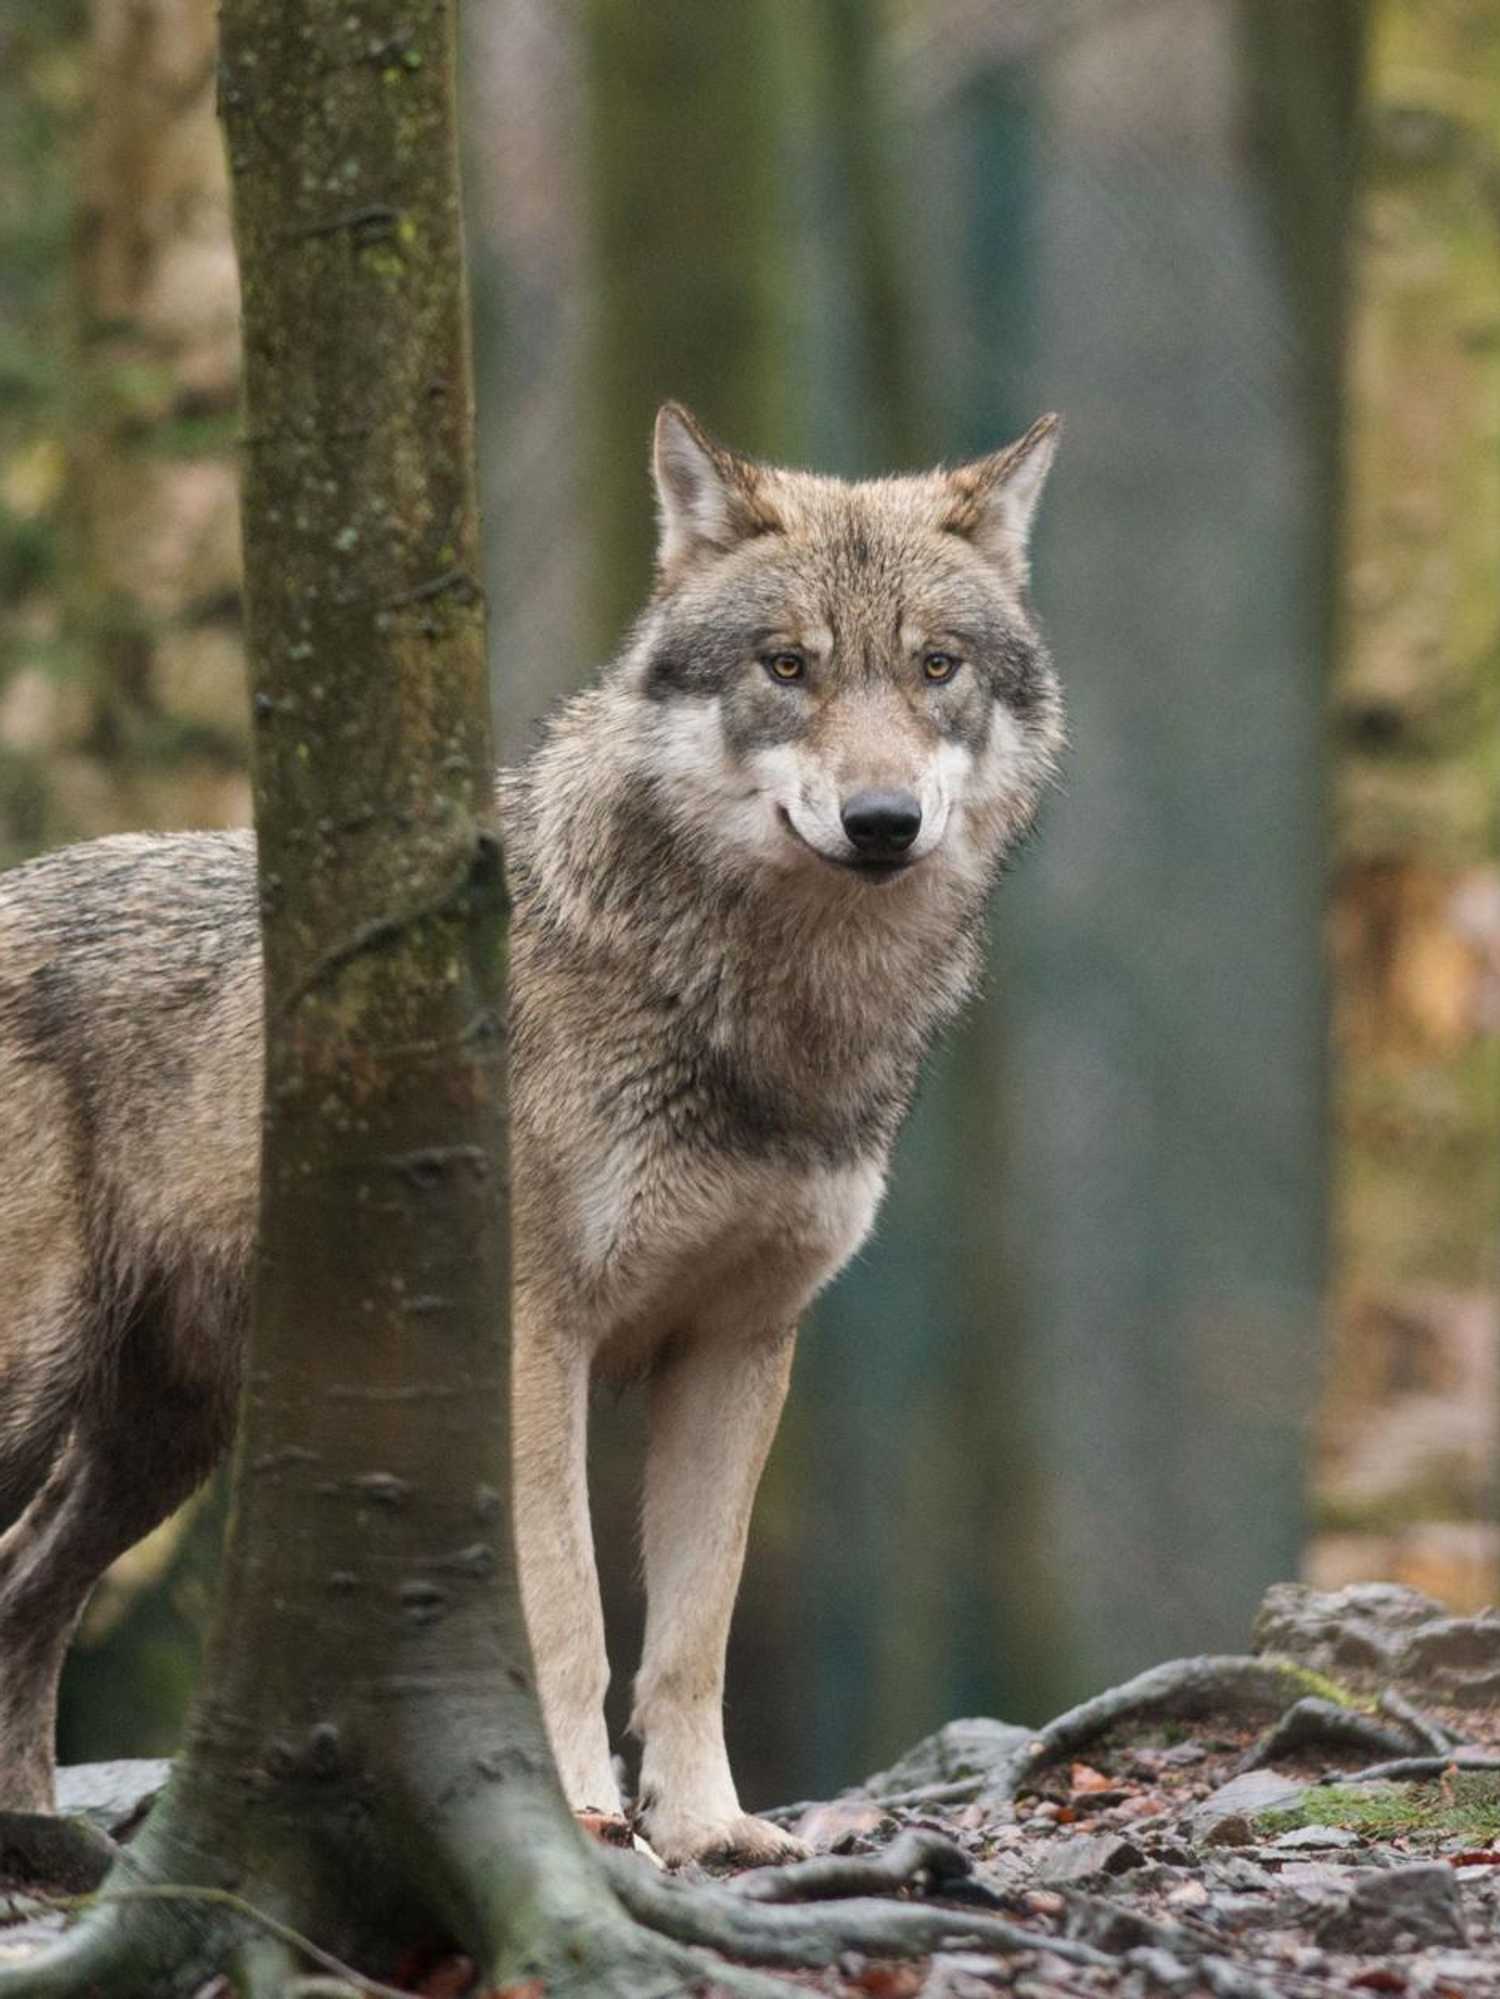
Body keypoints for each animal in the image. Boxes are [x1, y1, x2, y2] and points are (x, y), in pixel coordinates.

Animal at [0, 404, 1063, 1863]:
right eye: (788, 665)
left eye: (936, 666)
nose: (882, 820)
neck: (760, 1013)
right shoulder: (532, 1335)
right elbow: (565, 1612)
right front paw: (580, 1812)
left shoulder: (740, 1345)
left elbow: (693, 1629)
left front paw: (711, 1828)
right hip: (45, 1387)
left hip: (160, 1442)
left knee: (22, 1592)